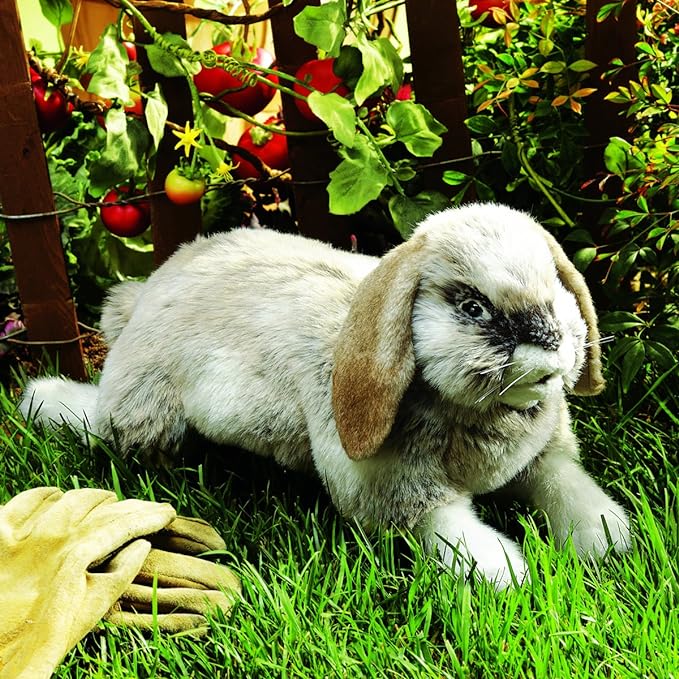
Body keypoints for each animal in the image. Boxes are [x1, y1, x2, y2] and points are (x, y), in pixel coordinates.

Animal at [20, 203, 630, 588]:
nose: (551, 343)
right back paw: (43, 399)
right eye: (473, 307)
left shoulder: (544, 460)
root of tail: (149, 290)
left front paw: (611, 540)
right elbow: (451, 529)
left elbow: (570, 489)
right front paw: (505, 574)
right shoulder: (399, 492)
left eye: (556, 287)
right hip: (143, 412)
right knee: (100, 424)